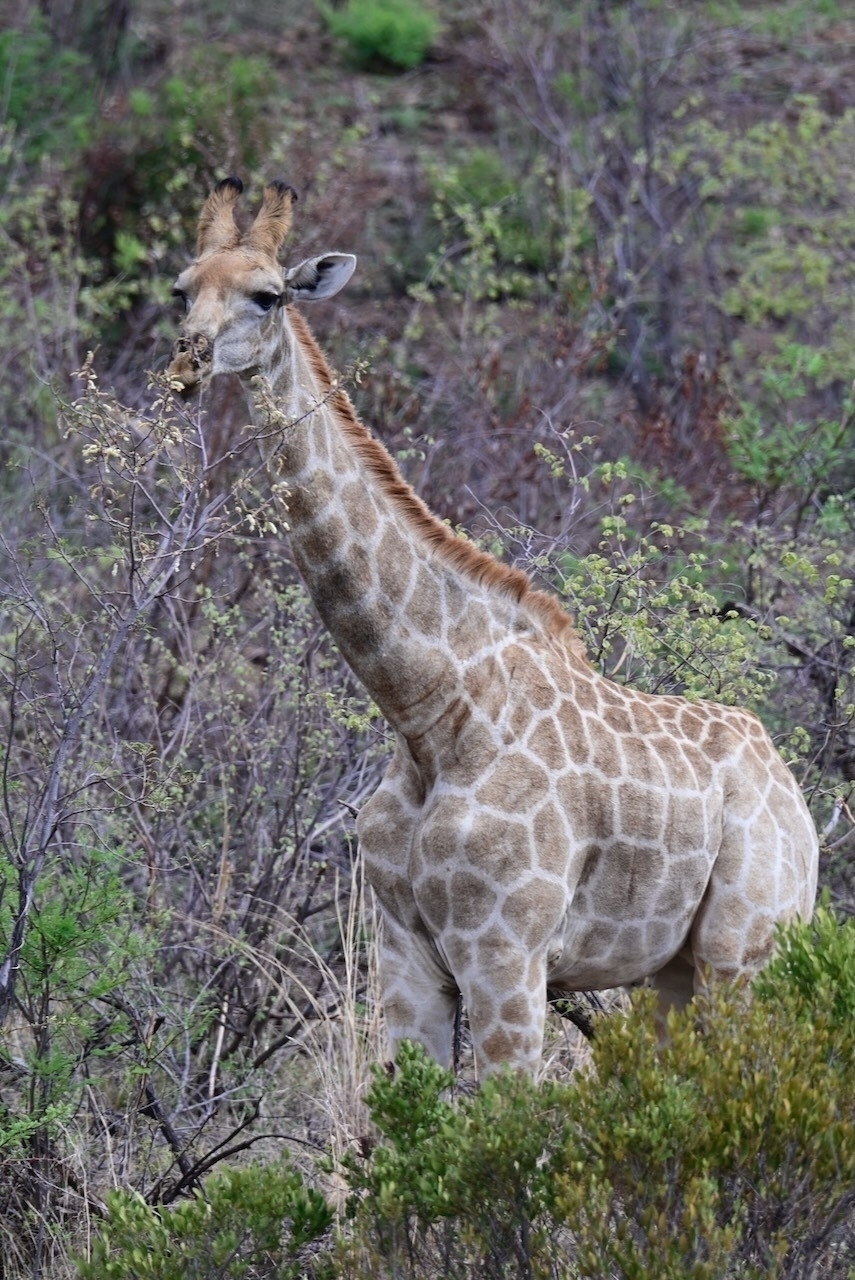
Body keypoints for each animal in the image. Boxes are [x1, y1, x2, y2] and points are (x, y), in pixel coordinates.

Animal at [168, 180, 819, 1075]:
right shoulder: (402, 954)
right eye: (182, 288)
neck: (427, 710)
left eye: (268, 295)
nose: (187, 363)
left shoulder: (507, 952)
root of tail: (796, 797)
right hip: (672, 971)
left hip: (745, 949)